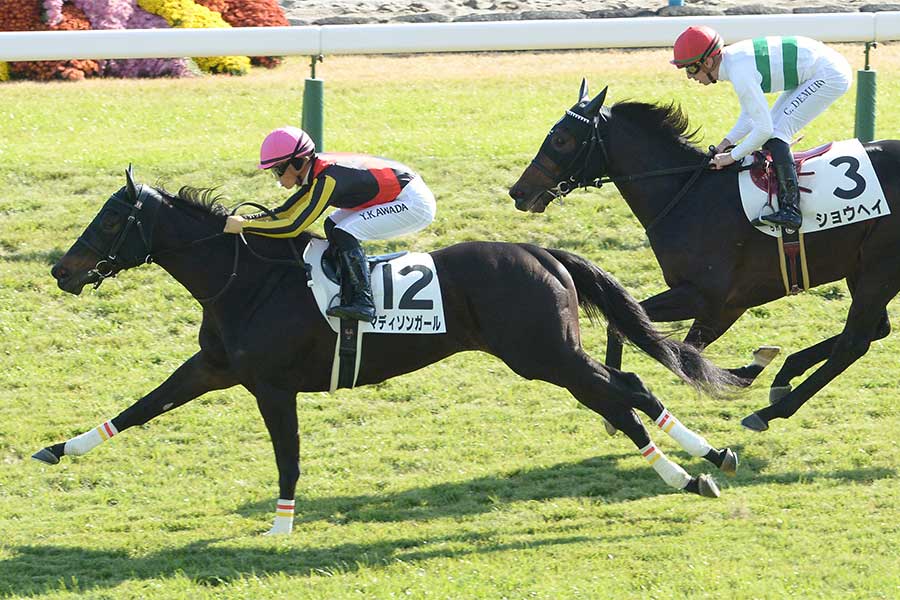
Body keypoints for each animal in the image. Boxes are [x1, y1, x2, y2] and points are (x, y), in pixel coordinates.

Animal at [33, 168, 740, 536]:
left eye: (109, 220)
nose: (63, 272)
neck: (244, 280)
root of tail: (542, 252)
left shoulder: (271, 386)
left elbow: (287, 457)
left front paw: (281, 527)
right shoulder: (214, 368)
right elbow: (141, 408)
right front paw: (59, 449)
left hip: (544, 356)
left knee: (629, 393)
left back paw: (702, 464)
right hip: (551, 359)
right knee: (618, 401)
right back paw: (693, 469)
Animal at [510, 82, 900, 434]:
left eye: (562, 139)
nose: (519, 192)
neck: (688, 194)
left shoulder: (714, 301)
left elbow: (681, 351)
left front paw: (743, 372)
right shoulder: (713, 300)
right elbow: (624, 326)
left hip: (879, 270)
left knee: (853, 343)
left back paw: (769, 411)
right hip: (861, 268)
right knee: (875, 330)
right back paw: (785, 375)